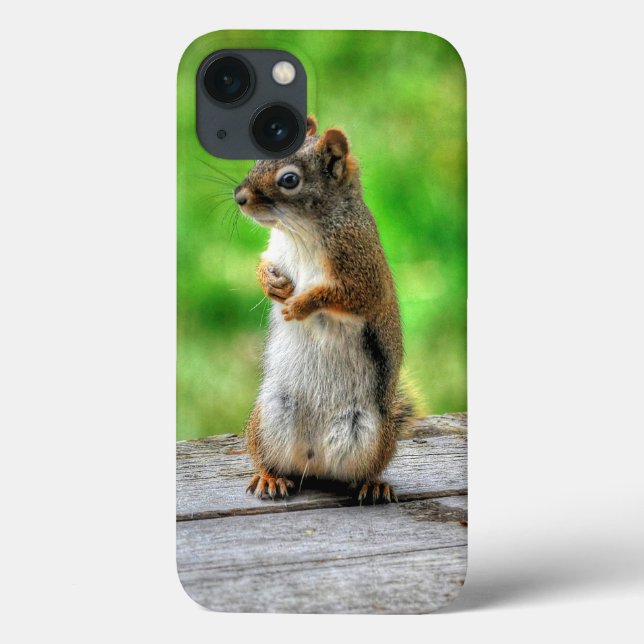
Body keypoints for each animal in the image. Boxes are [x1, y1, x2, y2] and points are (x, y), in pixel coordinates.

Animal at [234, 115, 413, 503]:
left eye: (290, 180)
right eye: (257, 159)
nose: (239, 198)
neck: (298, 231)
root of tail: (312, 462)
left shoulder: (362, 267)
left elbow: (351, 296)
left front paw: (301, 304)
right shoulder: (276, 251)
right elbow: (264, 266)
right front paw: (271, 284)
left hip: (370, 434)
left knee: (360, 471)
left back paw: (372, 484)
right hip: (269, 417)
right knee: (270, 459)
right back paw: (269, 477)